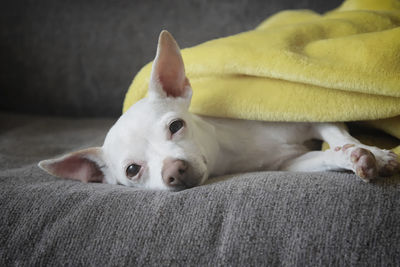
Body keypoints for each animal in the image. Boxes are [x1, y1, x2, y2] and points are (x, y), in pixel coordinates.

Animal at [38, 30, 400, 191]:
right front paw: (350, 157)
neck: (232, 147)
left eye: (175, 126)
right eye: (132, 170)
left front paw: (375, 153)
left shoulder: (312, 115)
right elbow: (325, 156)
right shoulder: (290, 164)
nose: (173, 171)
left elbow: (337, 132)